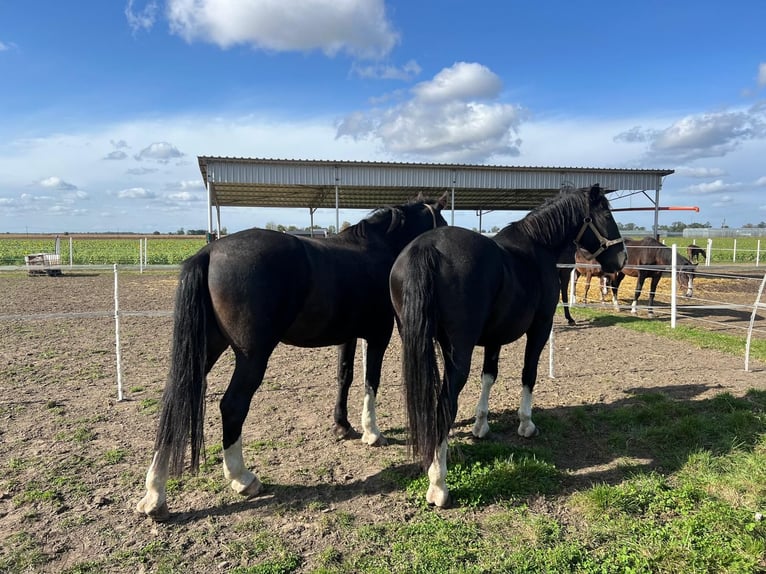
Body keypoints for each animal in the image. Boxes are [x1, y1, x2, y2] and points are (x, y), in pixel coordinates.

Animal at [138, 195, 450, 520]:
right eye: (442, 223)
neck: (379, 248)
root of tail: (209, 252)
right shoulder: (378, 335)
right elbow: (370, 381)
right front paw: (372, 433)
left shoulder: (349, 336)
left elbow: (345, 376)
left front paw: (342, 425)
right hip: (252, 357)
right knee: (232, 406)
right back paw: (242, 479)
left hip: (205, 350)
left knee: (175, 400)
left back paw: (155, 495)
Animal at [392, 184, 628, 508]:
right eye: (605, 214)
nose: (622, 259)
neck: (537, 246)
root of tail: (425, 248)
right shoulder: (540, 328)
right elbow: (529, 375)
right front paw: (526, 424)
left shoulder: (494, 338)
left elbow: (488, 377)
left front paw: (481, 426)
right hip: (458, 353)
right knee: (444, 406)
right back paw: (439, 485)